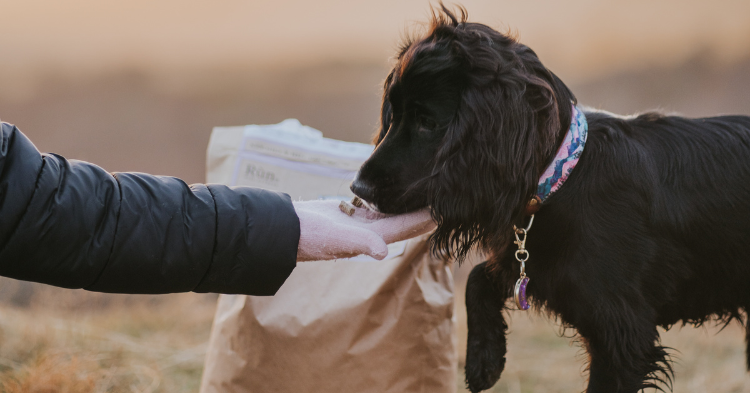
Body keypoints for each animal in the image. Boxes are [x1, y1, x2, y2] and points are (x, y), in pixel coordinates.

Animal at [352, 3, 750, 392]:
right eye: (393, 114)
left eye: (428, 123)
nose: (358, 189)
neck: (563, 177)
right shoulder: (534, 264)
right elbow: (482, 276)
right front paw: (484, 359)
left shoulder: (621, 335)